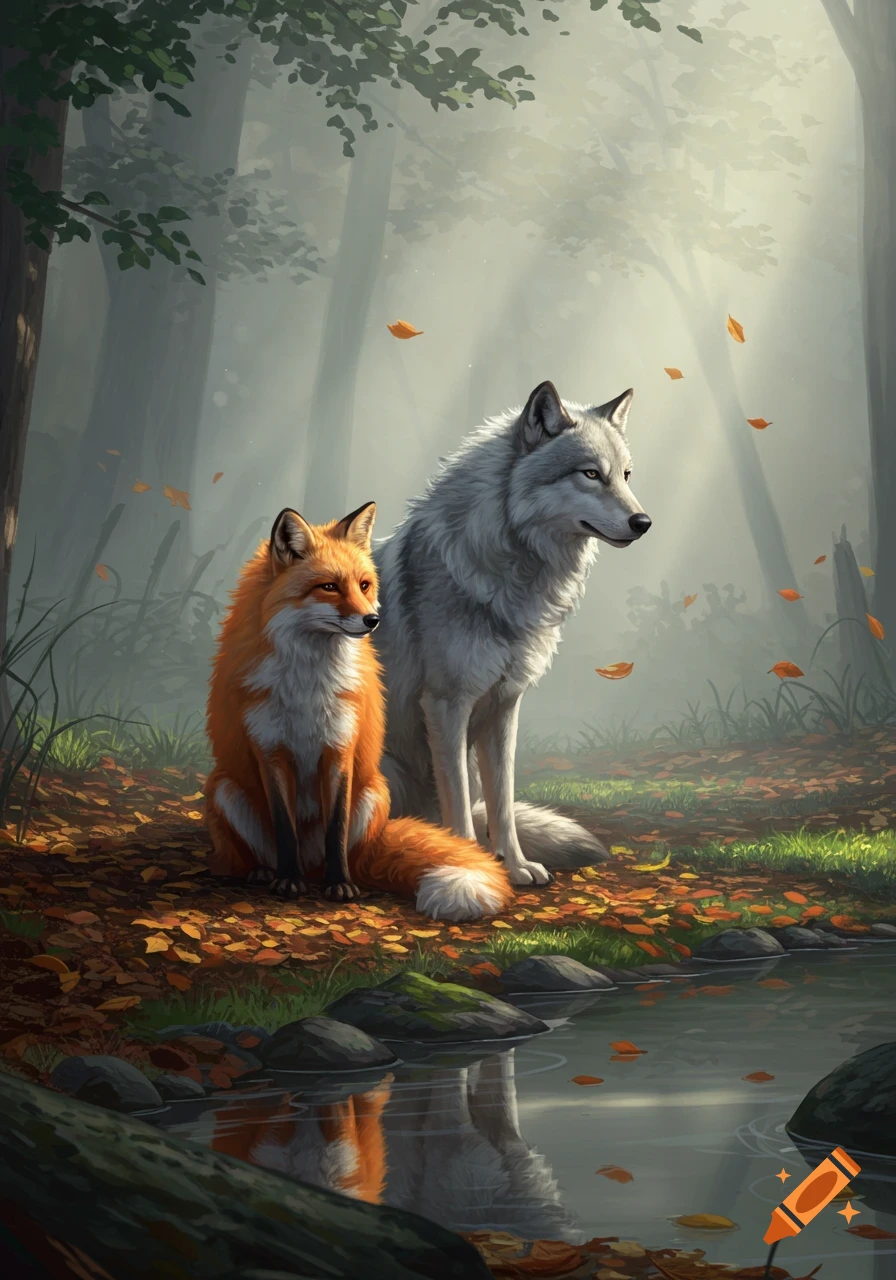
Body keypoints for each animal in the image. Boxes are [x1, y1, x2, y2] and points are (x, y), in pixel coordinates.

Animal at [204, 501, 513, 922]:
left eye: (365, 585)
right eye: (329, 586)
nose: (373, 620)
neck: (308, 684)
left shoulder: (339, 748)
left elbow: (336, 827)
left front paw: (340, 886)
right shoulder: (270, 751)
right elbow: (284, 828)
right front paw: (288, 882)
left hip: (374, 794)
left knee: (349, 851)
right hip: (226, 789)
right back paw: (266, 871)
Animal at [371, 380, 651, 886]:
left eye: (626, 476)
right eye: (590, 475)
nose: (644, 523)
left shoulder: (503, 706)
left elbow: (501, 803)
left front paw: (516, 865)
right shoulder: (446, 705)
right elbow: (460, 806)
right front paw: (469, 869)